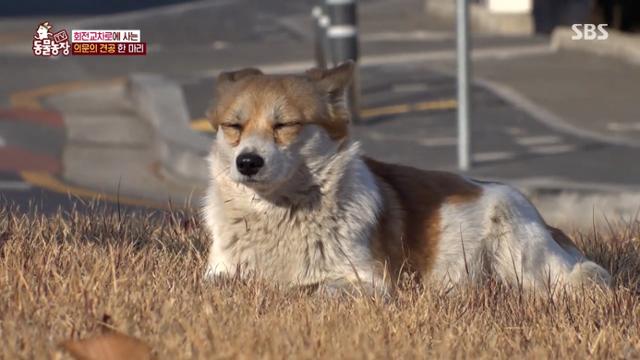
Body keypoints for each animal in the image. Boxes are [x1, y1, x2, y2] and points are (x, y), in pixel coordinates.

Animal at [202, 60, 612, 294]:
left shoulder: (371, 282)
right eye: (234, 127)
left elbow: (317, 290)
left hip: (518, 245)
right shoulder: (218, 273)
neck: (279, 213)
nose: (248, 162)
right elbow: (219, 286)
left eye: (285, 125)